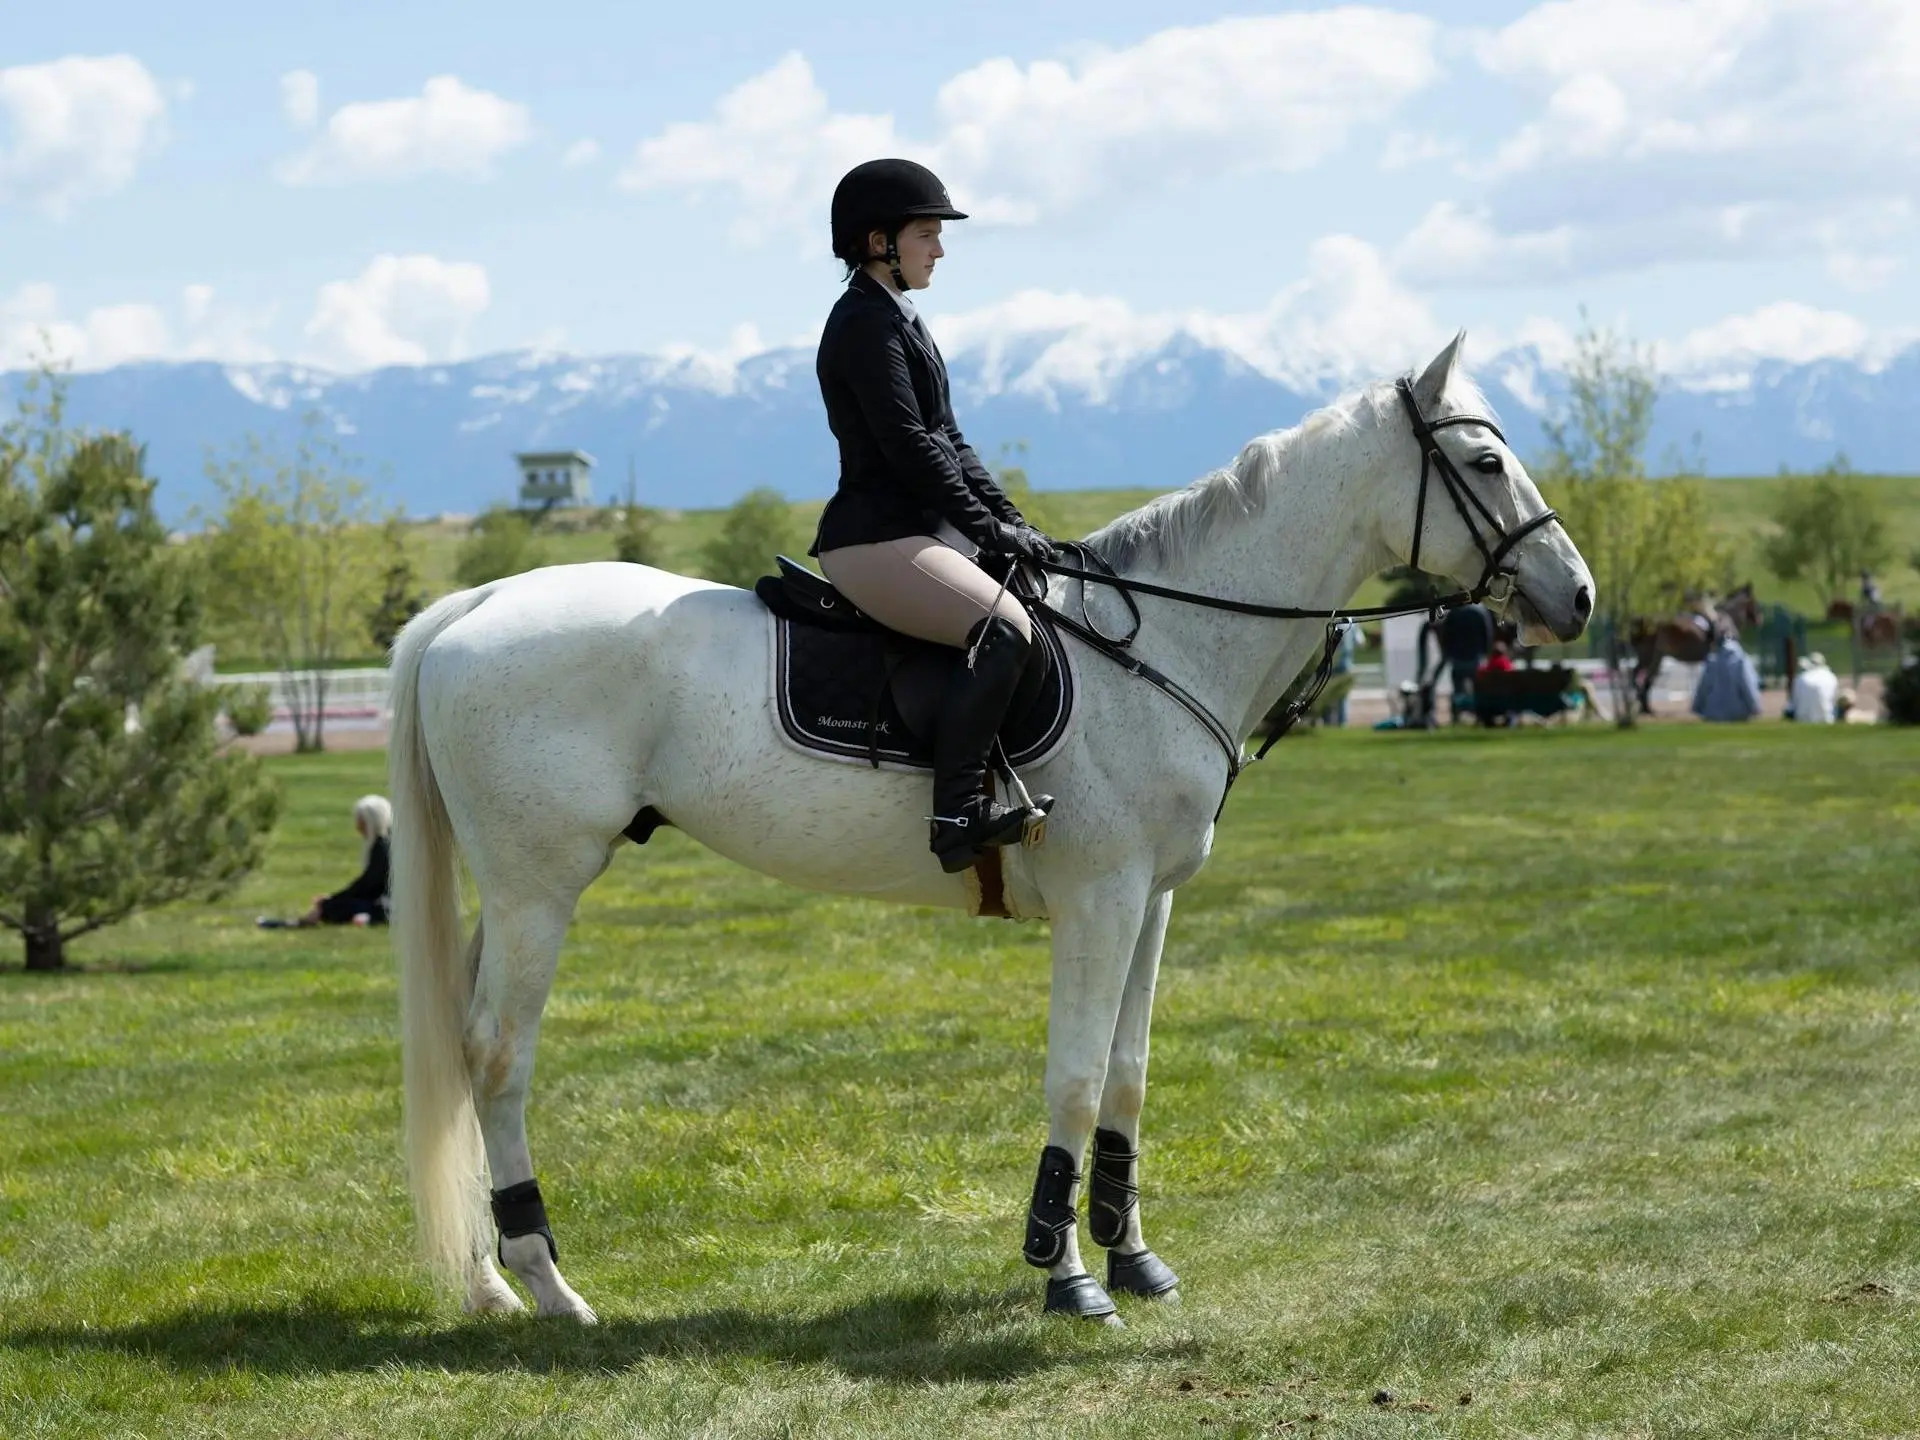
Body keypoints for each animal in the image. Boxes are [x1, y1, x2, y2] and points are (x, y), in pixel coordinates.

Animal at [387, 335, 1596, 1327]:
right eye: (1485, 465)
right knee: (498, 1055)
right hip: (542, 888)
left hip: (514, 892)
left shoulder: (1151, 902)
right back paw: (550, 1283)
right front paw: (1066, 1277)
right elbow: (1073, 1078)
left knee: (464, 1052)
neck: (1166, 641)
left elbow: (1127, 1074)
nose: (1577, 598)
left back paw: (492, 1281)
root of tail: (479, 603)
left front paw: (1133, 1260)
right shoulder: (1101, 899)